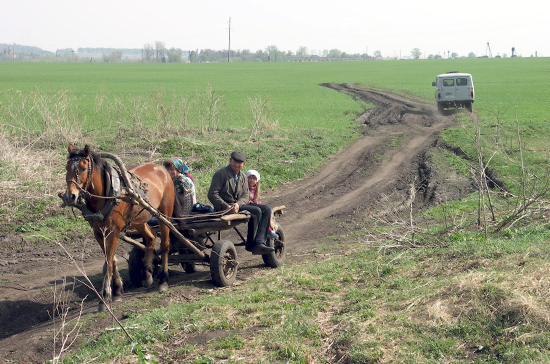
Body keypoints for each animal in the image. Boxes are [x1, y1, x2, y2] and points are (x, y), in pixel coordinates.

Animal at [62, 144, 175, 312]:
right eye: (66, 167)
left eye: (83, 168)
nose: (70, 196)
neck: (107, 195)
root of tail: (161, 169)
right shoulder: (98, 233)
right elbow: (111, 261)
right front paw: (117, 291)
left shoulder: (113, 231)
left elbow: (108, 263)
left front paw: (104, 298)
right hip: (139, 218)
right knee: (151, 237)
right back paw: (147, 274)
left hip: (164, 215)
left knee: (165, 244)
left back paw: (163, 280)